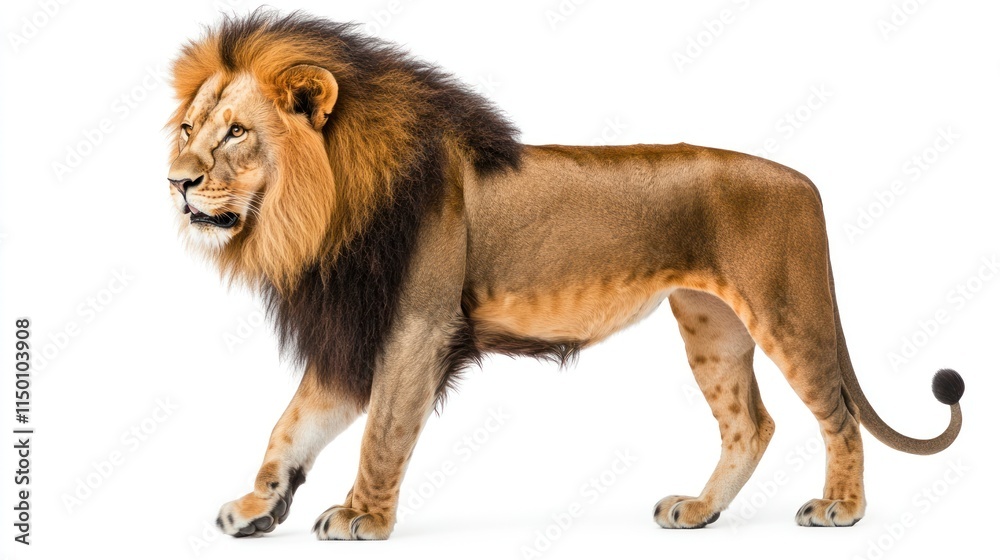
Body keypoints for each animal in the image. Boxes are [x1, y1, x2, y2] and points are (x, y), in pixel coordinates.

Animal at [166, 11, 965, 539]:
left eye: (237, 132)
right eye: (188, 128)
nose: (176, 182)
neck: (319, 214)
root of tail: (805, 183)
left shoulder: (417, 326)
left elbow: (382, 432)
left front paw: (363, 516)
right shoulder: (356, 333)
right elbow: (290, 426)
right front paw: (257, 508)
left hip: (785, 306)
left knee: (837, 414)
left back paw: (841, 509)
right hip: (711, 323)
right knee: (751, 423)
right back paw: (699, 510)